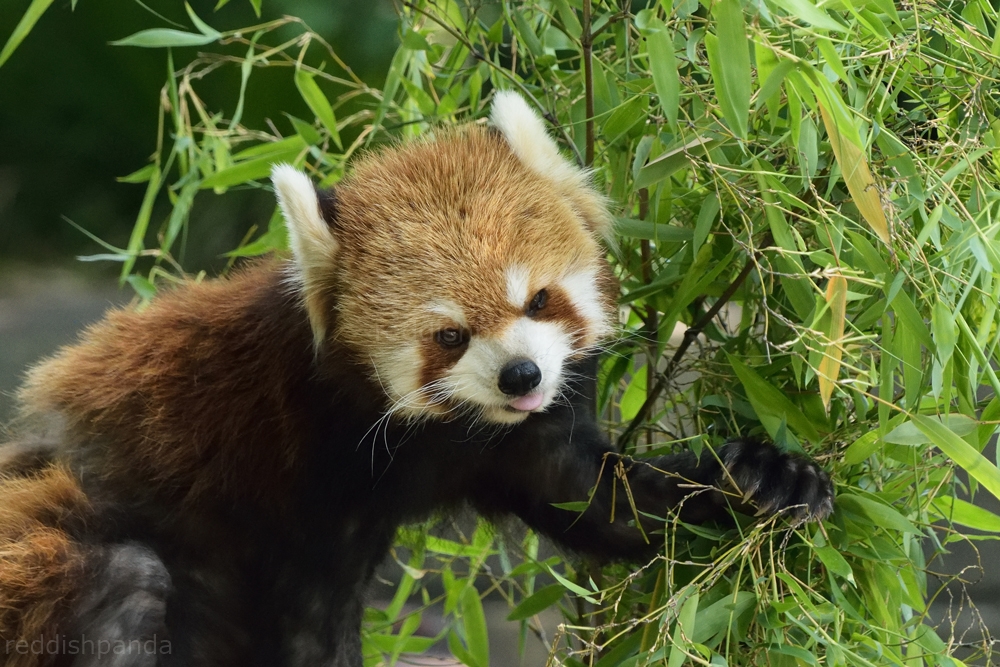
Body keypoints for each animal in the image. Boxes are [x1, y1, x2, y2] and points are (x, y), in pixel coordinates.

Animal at [0, 92, 832, 667]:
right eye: (449, 335)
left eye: (538, 299)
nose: (521, 374)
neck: (433, 435)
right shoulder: (294, 472)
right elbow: (305, 626)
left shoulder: (517, 442)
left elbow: (602, 501)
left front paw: (761, 477)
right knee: (120, 589)